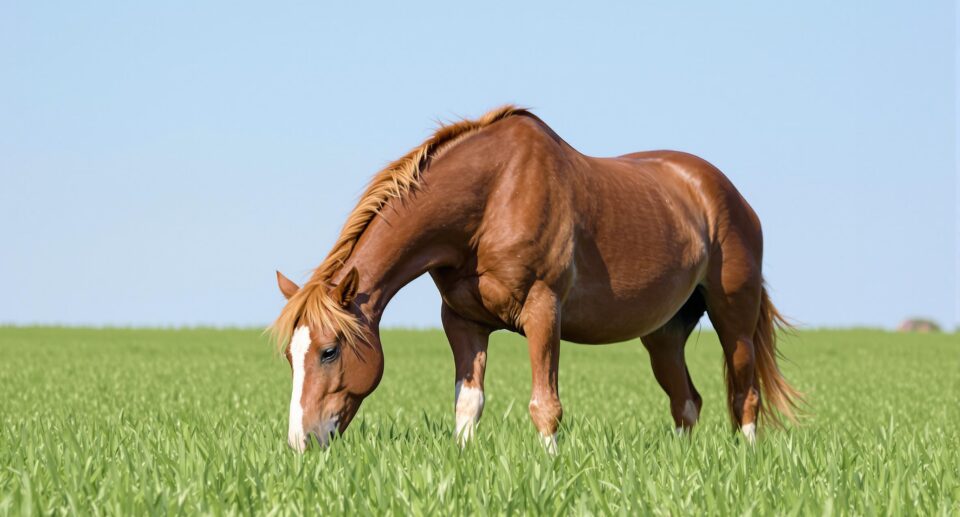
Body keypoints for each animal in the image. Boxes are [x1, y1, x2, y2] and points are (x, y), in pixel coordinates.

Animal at [272, 105, 801, 452]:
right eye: (290, 356)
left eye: (329, 350)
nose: (302, 441)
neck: (491, 196)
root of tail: (726, 194)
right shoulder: (462, 322)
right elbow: (468, 404)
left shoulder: (543, 311)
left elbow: (546, 405)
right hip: (665, 332)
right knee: (686, 401)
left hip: (733, 316)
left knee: (745, 395)